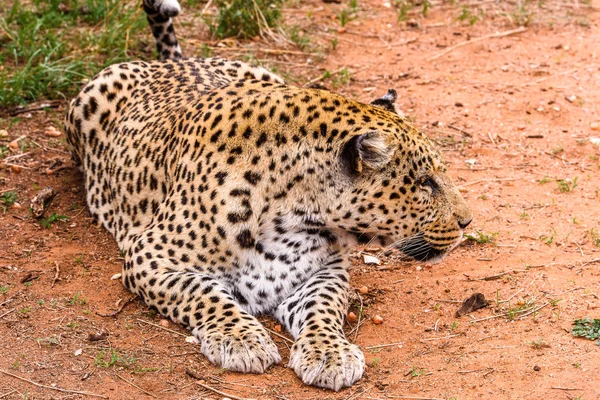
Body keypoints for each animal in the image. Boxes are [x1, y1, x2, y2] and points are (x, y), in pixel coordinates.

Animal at [63, 56, 472, 390]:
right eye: (425, 183)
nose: (468, 222)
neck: (296, 215)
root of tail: (172, 60)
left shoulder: (325, 269)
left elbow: (323, 306)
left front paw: (331, 354)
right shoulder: (149, 254)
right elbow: (202, 292)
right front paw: (242, 339)